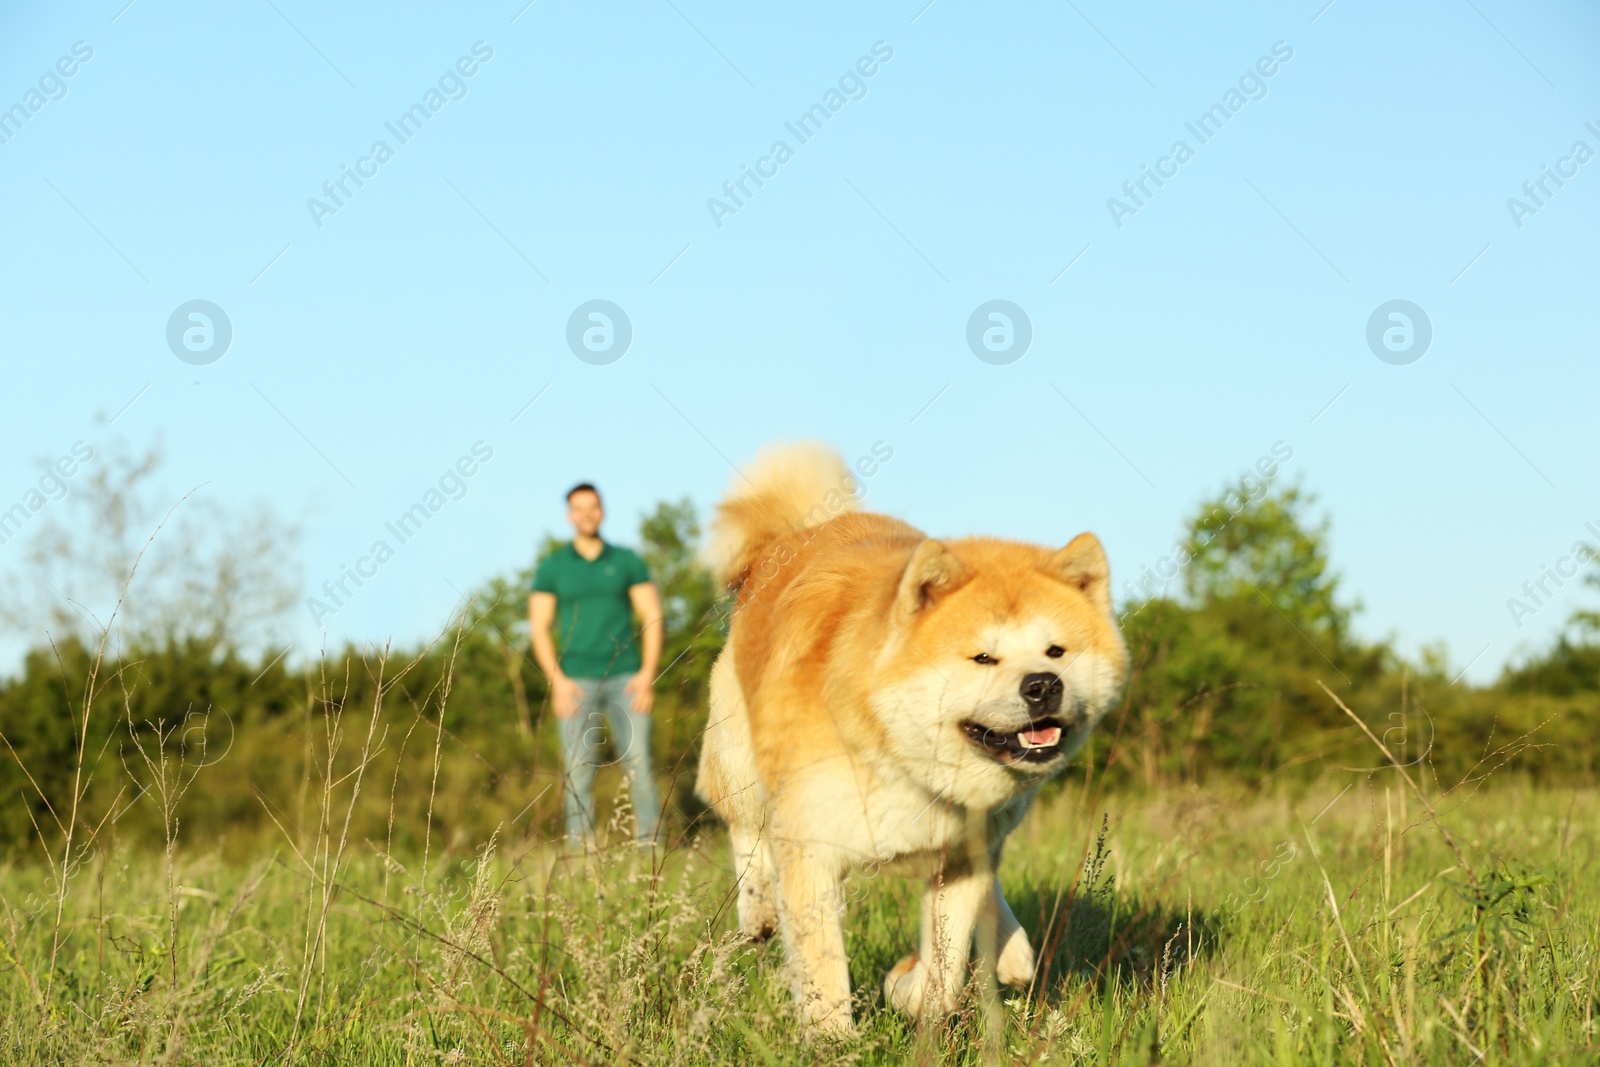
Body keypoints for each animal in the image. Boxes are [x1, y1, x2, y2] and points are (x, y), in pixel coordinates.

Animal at [694, 441, 1132, 1036]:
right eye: (983, 657)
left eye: (1057, 651)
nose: (1043, 685)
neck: (896, 754)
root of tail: (801, 532)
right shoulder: (811, 850)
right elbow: (824, 972)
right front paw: (834, 1041)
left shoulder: (961, 860)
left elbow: (942, 977)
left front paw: (906, 988)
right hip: (739, 758)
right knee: (746, 829)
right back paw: (758, 907)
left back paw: (1013, 951)